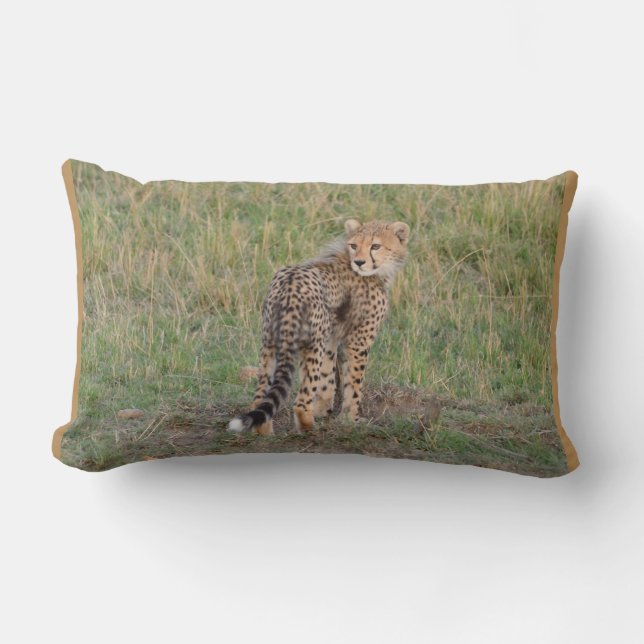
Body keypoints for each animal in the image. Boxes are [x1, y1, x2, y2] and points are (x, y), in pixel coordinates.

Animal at [227, 218, 410, 436]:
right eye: (354, 245)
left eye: (375, 246)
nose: (359, 262)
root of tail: (289, 282)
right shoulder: (358, 341)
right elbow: (353, 383)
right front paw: (351, 419)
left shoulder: (330, 337)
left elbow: (327, 376)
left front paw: (323, 410)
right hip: (312, 344)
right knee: (300, 401)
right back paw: (308, 428)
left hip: (270, 341)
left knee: (259, 397)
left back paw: (264, 432)